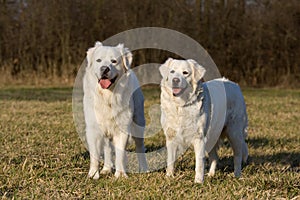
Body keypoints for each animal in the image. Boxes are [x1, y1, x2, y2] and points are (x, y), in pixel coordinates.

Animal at [82, 41, 148, 179]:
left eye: (114, 61)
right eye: (99, 60)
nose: (104, 69)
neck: (108, 96)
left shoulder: (122, 128)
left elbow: (120, 154)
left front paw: (121, 175)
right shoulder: (93, 129)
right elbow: (95, 155)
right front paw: (93, 174)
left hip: (138, 121)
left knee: (140, 146)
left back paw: (144, 168)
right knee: (107, 148)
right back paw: (106, 169)